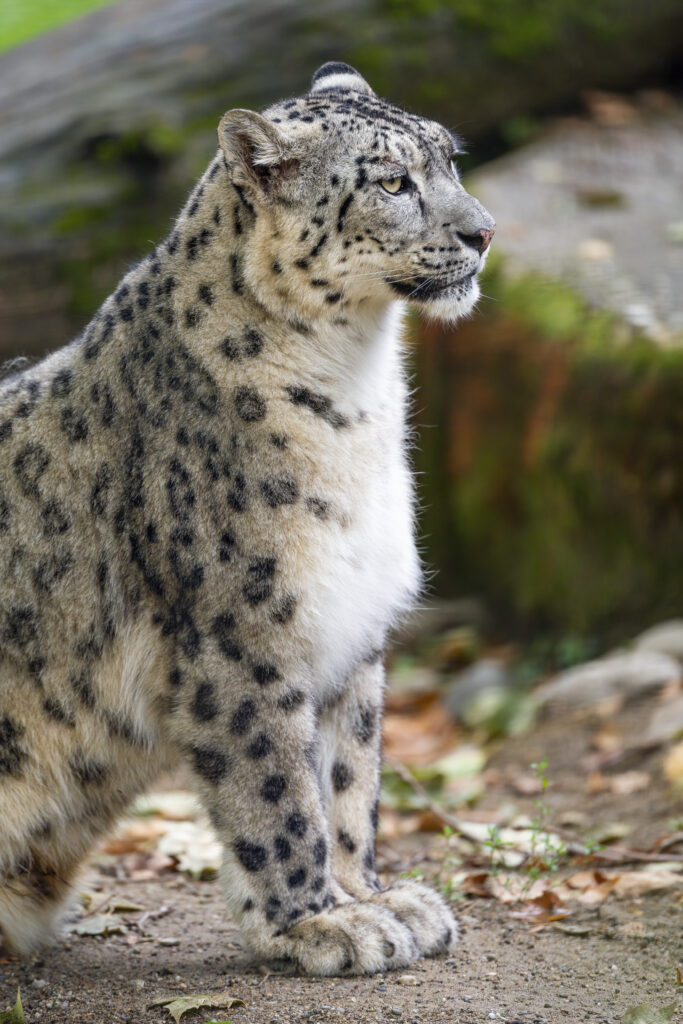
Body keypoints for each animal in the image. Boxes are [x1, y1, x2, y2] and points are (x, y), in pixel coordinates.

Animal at [0, 61, 494, 976]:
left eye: (449, 158)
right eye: (391, 182)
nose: (483, 232)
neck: (357, 397)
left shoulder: (352, 633)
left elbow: (348, 782)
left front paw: (375, 897)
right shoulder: (242, 634)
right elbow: (278, 790)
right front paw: (320, 924)